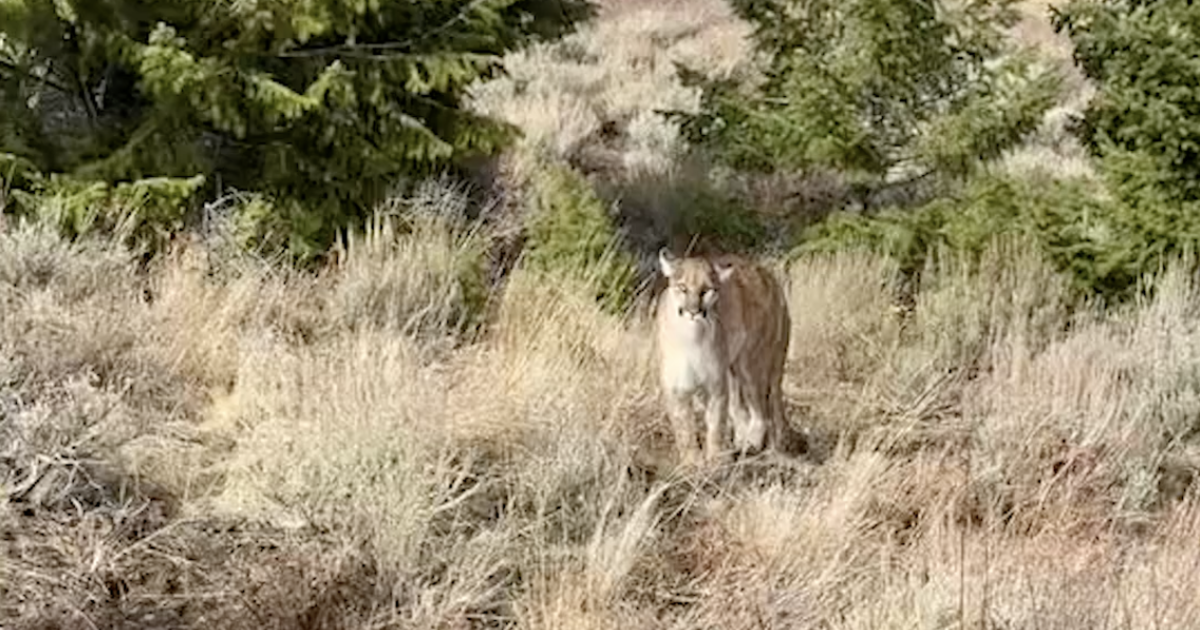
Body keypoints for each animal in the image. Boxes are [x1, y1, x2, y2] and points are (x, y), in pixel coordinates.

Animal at [654, 247, 791, 465]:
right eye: (682, 287)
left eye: (706, 290)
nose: (694, 311)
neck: (692, 337)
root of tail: (768, 276)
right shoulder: (676, 386)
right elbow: (684, 428)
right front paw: (692, 462)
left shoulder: (716, 386)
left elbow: (716, 424)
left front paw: (715, 460)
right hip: (733, 371)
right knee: (743, 411)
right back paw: (741, 444)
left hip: (750, 364)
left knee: (762, 413)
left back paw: (750, 446)